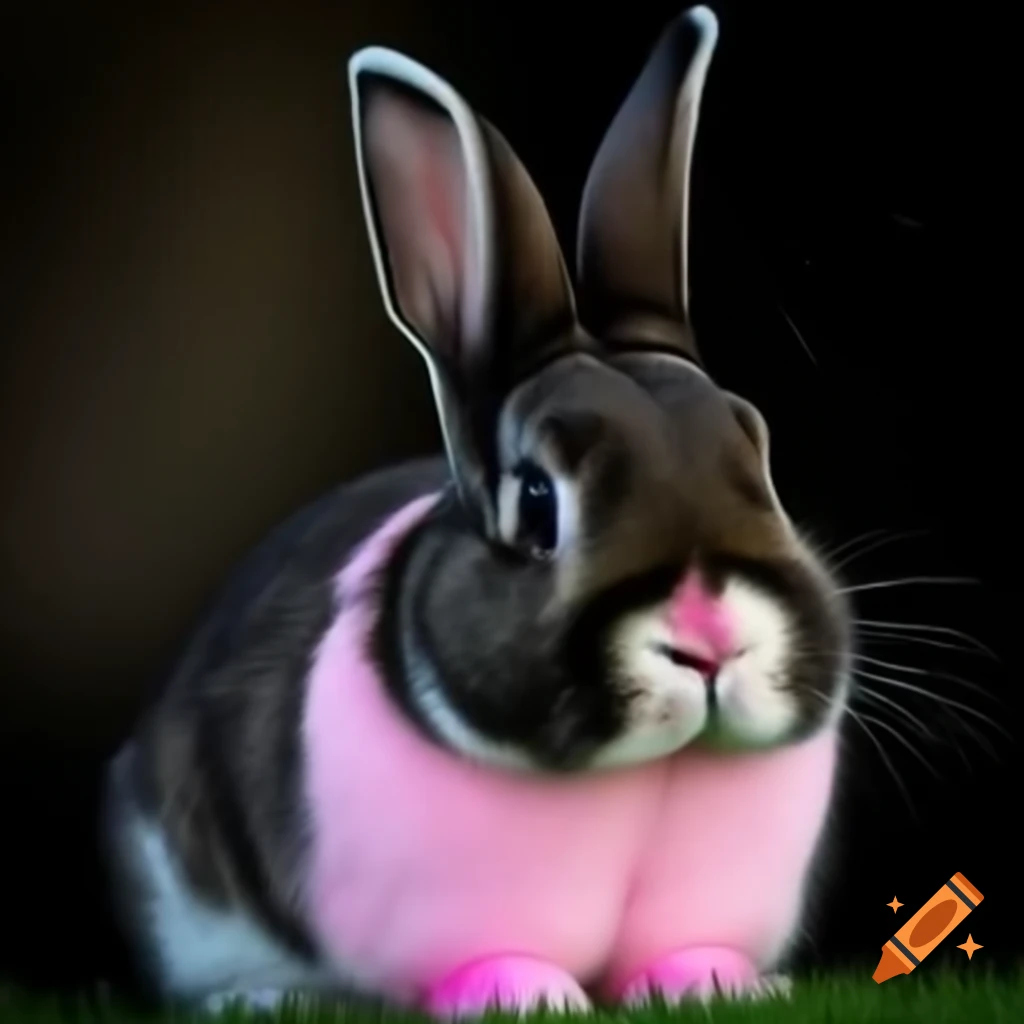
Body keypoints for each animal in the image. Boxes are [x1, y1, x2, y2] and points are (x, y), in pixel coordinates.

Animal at [101, 5, 852, 1018]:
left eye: (756, 449)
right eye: (536, 502)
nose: (709, 635)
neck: (649, 777)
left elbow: (690, 952)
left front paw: (718, 986)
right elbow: (499, 963)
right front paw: (530, 997)